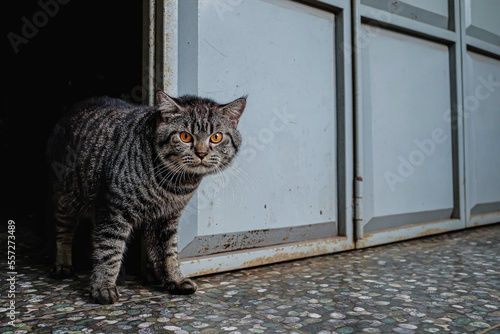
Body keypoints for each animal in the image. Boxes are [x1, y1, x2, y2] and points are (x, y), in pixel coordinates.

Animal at [47, 90, 246, 304]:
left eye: (216, 137)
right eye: (185, 137)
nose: (201, 153)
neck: (174, 185)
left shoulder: (166, 218)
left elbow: (168, 253)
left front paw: (175, 280)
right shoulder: (113, 211)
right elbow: (110, 251)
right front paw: (103, 287)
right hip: (66, 198)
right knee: (63, 233)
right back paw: (63, 265)